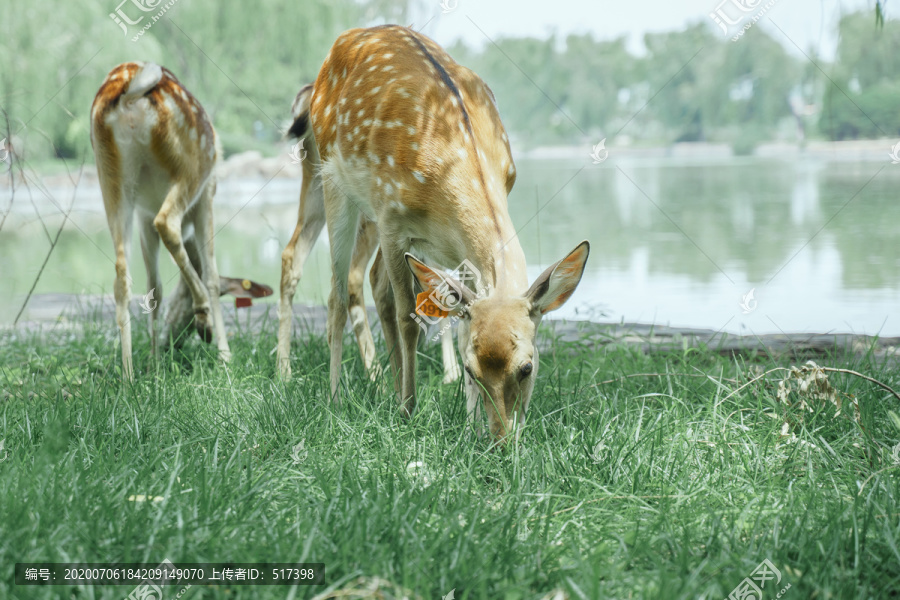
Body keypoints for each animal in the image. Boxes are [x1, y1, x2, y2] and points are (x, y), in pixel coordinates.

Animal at [91, 64, 268, 380]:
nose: (174, 340)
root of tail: (129, 95)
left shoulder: (143, 215)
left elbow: (155, 288)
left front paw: (155, 364)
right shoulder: (207, 195)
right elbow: (211, 276)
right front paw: (224, 355)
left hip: (110, 178)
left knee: (121, 272)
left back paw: (128, 377)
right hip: (193, 165)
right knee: (167, 223)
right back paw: (204, 322)